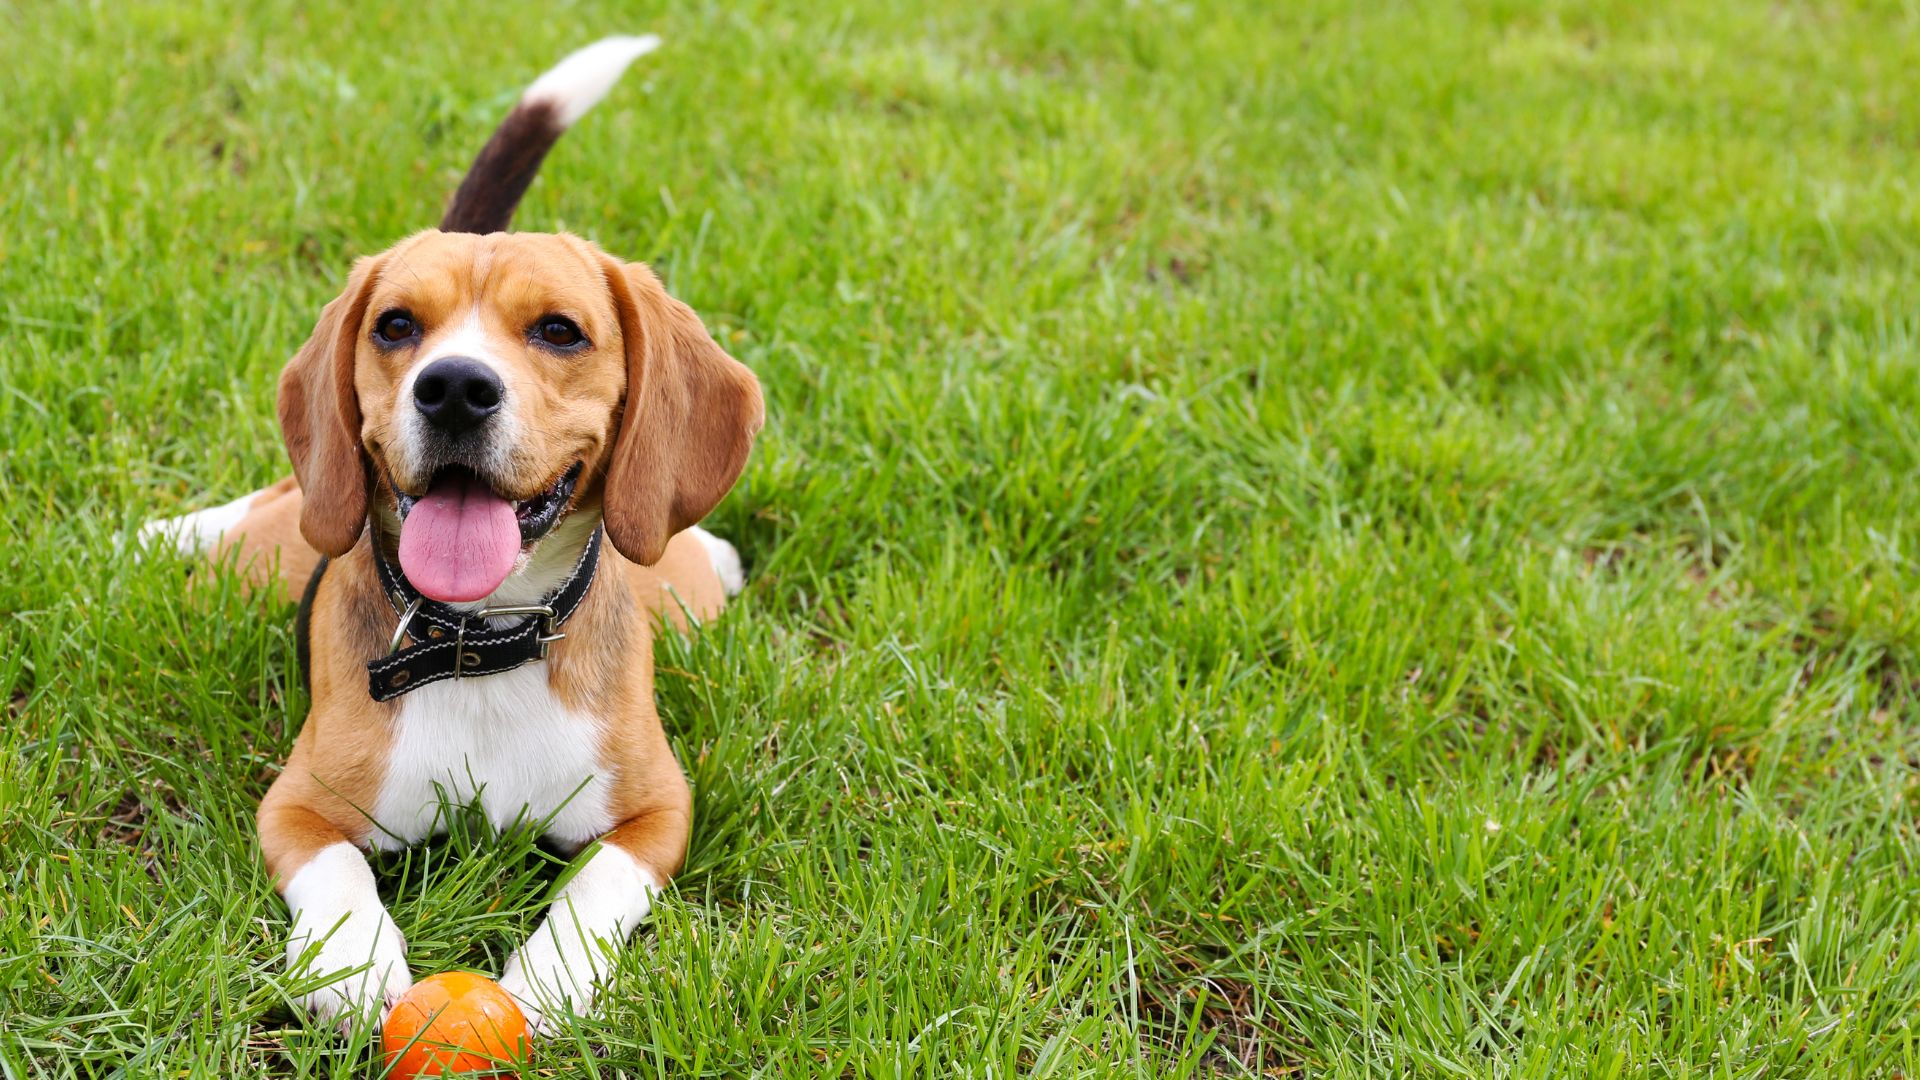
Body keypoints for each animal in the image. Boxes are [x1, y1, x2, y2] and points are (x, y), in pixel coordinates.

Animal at [144, 33, 764, 1022]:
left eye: (560, 331)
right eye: (397, 325)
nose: (455, 388)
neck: (483, 642)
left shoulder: (659, 814)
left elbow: (595, 887)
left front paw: (550, 983)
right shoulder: (298, 805)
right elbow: (336, 870)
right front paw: (352, 962)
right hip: (288, 534)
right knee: (265, 508)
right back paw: (160, 535)